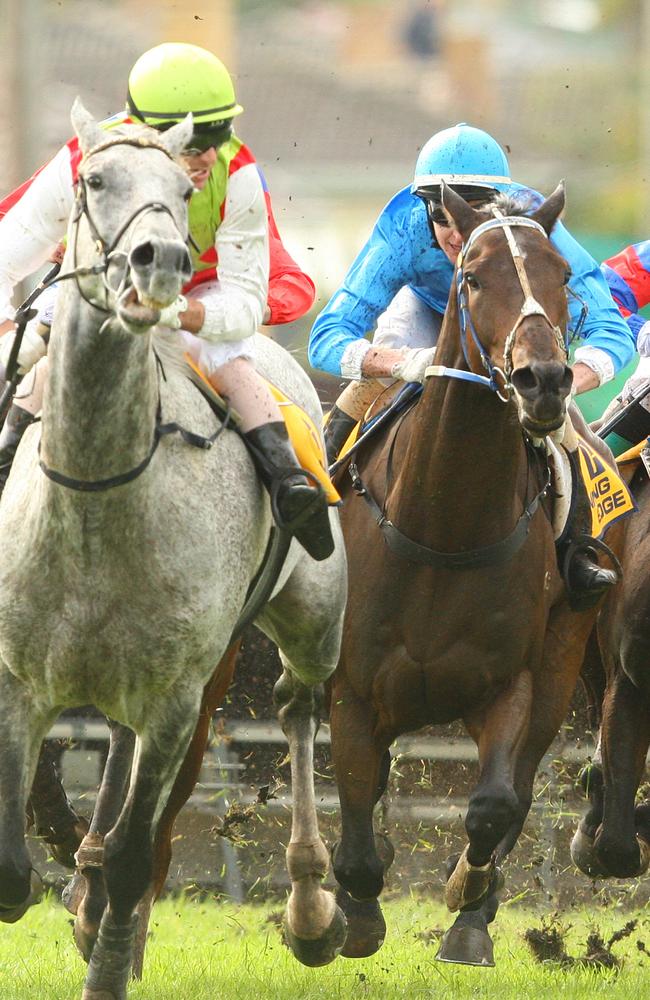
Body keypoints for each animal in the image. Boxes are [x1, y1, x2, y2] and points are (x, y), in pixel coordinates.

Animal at [0, 103, 344, 1000]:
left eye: (183, 190)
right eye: (93, 179)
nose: (160, 264)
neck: (95, 499)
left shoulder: (176, 698)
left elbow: (130, 862)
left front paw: (109, 959)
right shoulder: (18, 683)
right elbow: (11, 873)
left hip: (310, 622)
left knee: (299, 707)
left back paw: (312, 909)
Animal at [330, 184, 604, 964]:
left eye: (562, 275)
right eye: (474, 277)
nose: (545, 381)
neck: (444, 527)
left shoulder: (511, 683)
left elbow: (493, 804)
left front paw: (465, 899)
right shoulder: (353, 689)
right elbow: (356, 806)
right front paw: (354, 911)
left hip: (565, 653)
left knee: (519, 790)